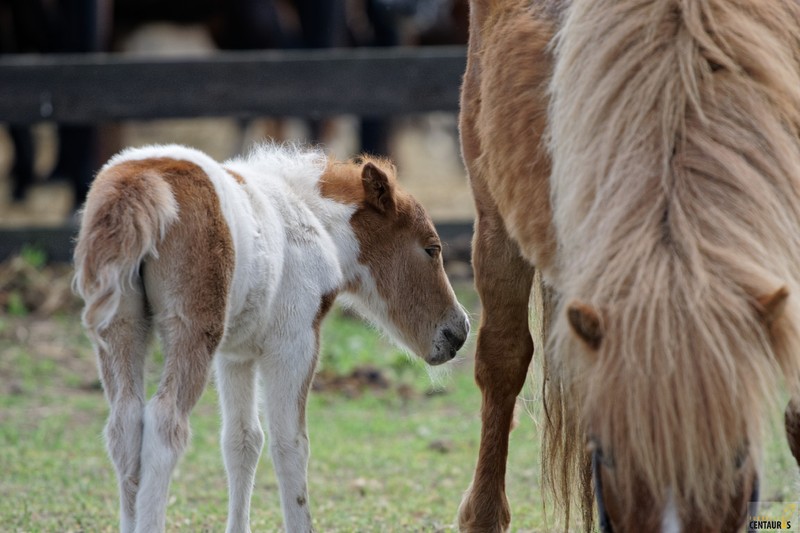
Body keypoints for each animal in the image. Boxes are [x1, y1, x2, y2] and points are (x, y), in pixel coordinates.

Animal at [70, 142, 468, 532]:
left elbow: (242, 440)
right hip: (193, 331)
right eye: (431, 248)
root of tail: (140, 183)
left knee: (124, 426)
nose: (459, 331)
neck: (312, 221)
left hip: (120, 327)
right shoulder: (294, 342)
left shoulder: (236, 355)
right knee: (165, 424)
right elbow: (291, 444)